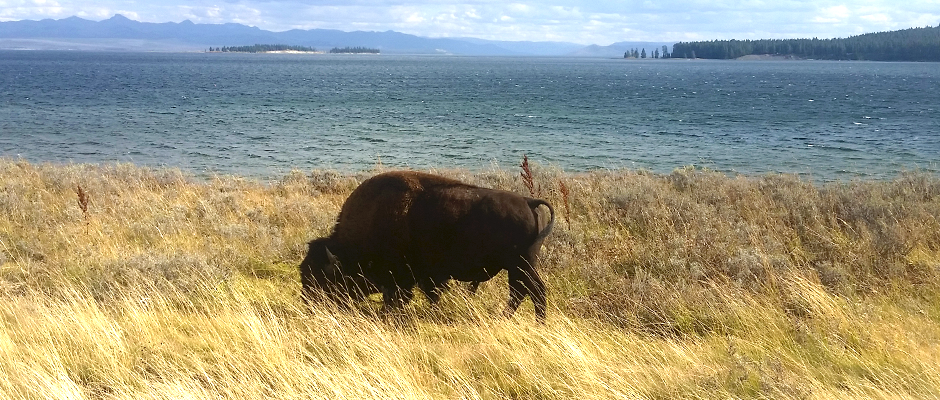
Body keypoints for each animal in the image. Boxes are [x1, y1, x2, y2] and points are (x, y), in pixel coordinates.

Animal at [300, 170, 554, 321]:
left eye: (322, 278)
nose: (307, 303)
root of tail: (528, 201)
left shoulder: (404, 278)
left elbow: (400, 297)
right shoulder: (425, 277)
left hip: (521, 265)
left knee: (534, 292)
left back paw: (535, 322)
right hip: (516, 268)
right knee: (520, 292)